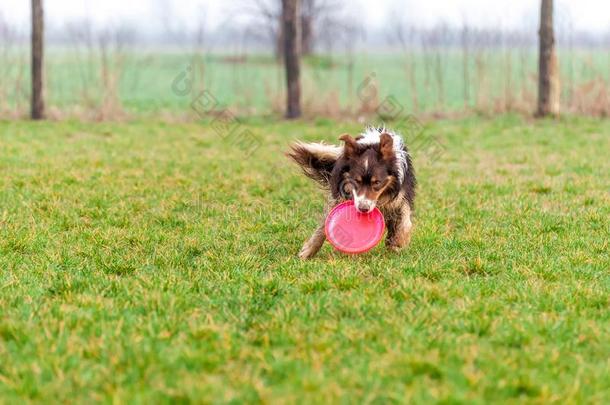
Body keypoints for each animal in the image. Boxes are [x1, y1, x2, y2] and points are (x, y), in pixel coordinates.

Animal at [288, 126, 416, 258]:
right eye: (356, 181)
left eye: (377, 182)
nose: (363, 209)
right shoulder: (341, 196)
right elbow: (325, 224)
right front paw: (308, 251)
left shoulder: (402, 194)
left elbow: (405, 219)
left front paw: (400, 240)